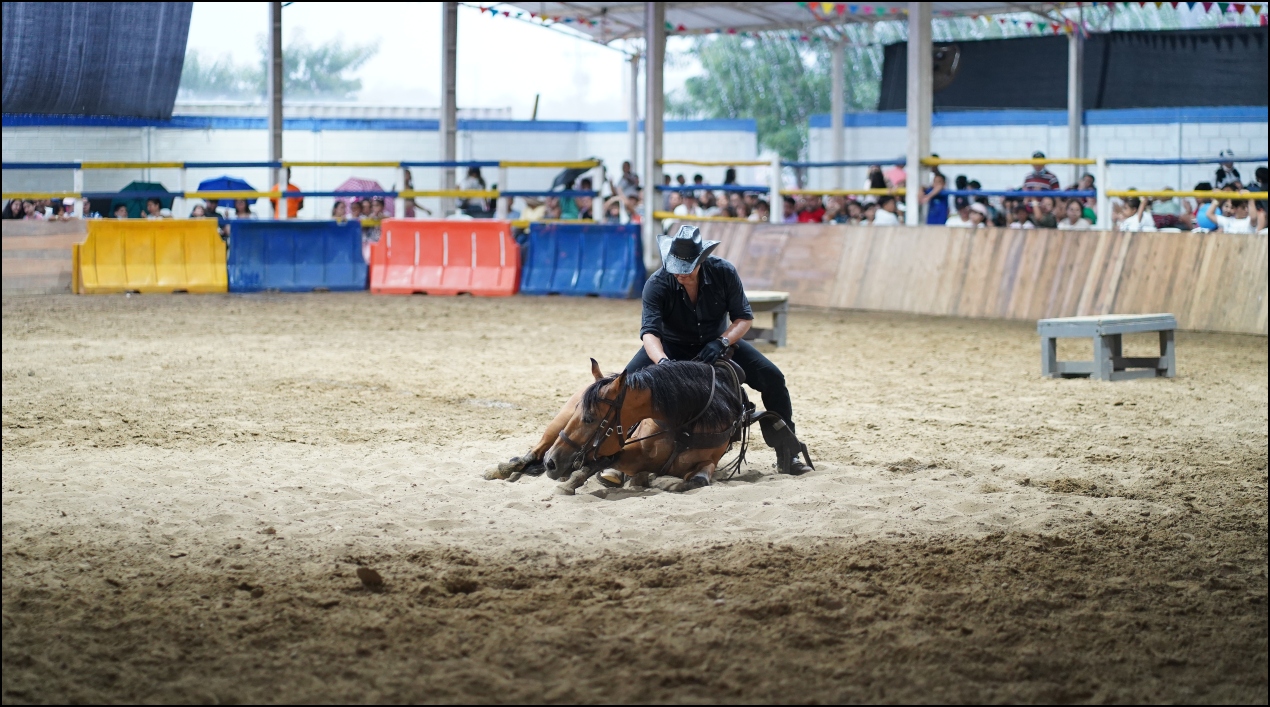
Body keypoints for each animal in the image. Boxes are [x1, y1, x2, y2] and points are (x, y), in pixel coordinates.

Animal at [482, 357, 746, 489]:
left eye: (590, 418)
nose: (552, 463)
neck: (683, 428)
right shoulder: (624, 452)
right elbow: (599, 464)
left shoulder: (708, 463)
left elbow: (698, 480)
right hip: (556, 427)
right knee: (531, 454)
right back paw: (500, 470)